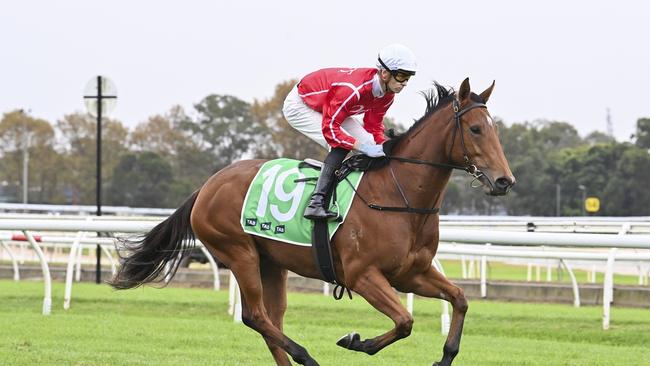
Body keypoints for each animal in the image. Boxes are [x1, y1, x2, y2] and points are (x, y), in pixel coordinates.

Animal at [112, 78, 516, 366]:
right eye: (476, 129)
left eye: (495, 129)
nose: (504, 181)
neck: (399, 196)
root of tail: (206, 186)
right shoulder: (362, 275)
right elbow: (404, 321)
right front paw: (356, 340)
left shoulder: (411, 273)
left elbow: (460, 299)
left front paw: (444, 357)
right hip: (240, 253)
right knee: (255, 316)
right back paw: (307, 356)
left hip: (271, 263)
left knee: (271, 320)